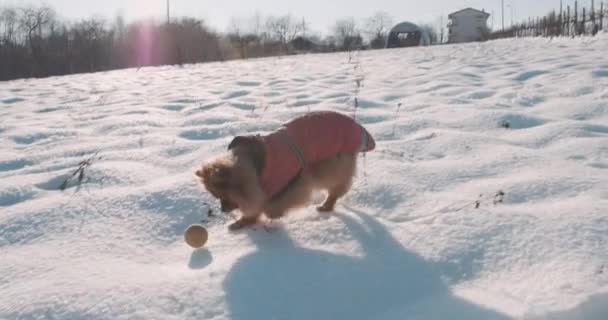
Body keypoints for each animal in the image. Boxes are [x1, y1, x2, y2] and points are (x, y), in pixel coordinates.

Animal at [197, 110, 372, 230]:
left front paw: (273, 214)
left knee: (336, 189)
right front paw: (243, 222)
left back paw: (326, 206)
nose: (222, 210)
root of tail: (356, 126)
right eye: (216, 196)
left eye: (224, 196)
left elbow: (268, 207)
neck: (255, 168)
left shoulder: (292, 181)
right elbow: (255, 209)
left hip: (326, 165)